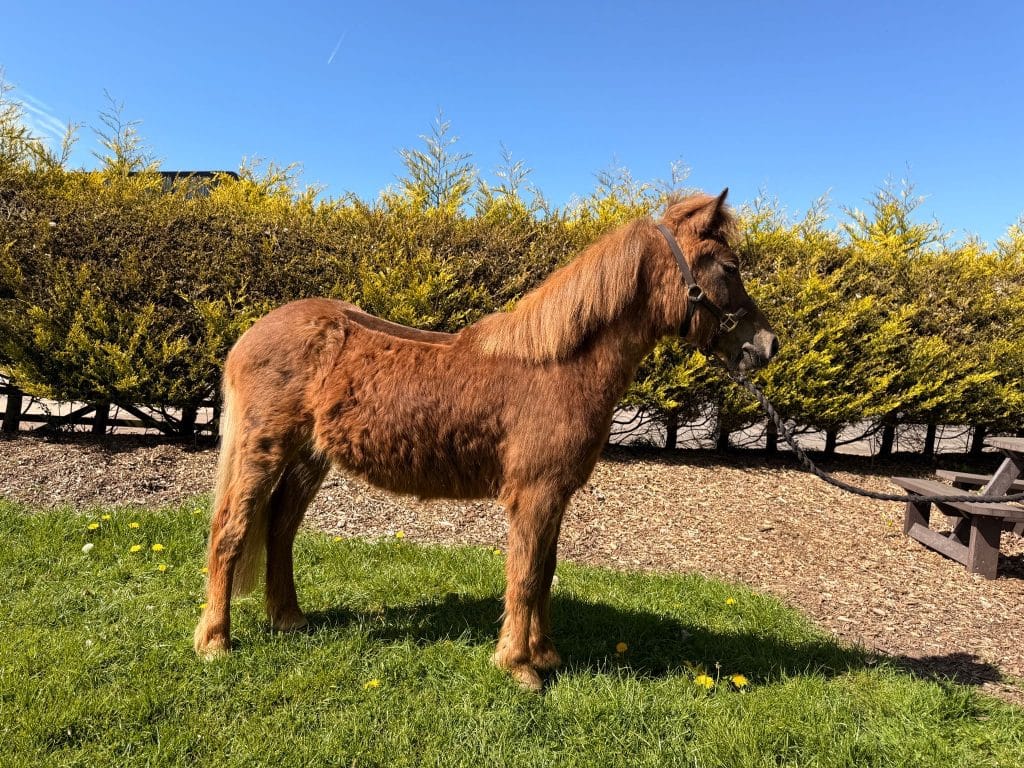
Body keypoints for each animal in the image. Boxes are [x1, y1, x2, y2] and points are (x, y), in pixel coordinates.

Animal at [193, 189, 778, 691]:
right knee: (230, 531)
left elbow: (544, 572)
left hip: (308, 459)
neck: (558, 366)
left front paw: (545, 654)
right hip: (262, 450)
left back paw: (289, 619)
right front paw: (519, 667)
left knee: (279, 532)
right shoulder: (534, 495)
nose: (767, 345)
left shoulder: (553, 497)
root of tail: (251, 335)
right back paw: (215, 641)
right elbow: (524, 576)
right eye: (729, 267)